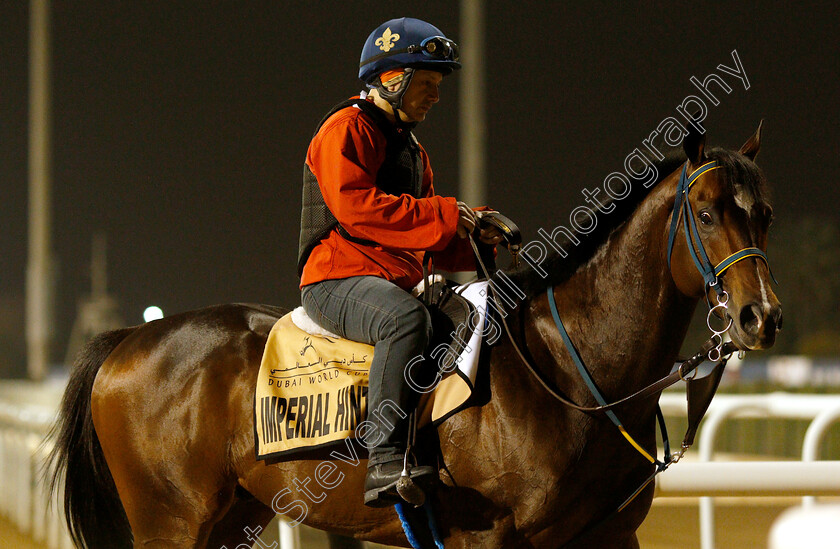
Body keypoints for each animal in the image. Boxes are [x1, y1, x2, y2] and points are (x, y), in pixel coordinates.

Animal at [46, 124, 780, 548]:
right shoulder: (486, 538)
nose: (760, 316)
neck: (571, 373)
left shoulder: (609, 536)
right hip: (169, 522)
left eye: (765, 213)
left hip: (232, 517)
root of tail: (127, 340)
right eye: (706, 213)